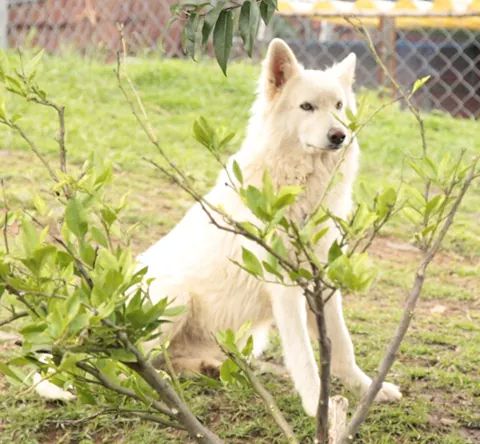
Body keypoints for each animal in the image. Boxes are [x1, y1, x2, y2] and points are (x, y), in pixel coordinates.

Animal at [136, 39, 402, 416]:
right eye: (307, 107)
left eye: (338, 105)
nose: (339, 136)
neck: (298, 185)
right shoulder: (285, 286)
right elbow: (303, 355)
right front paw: (316, 405)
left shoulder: (323, 280)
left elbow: (343, 345)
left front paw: (367, 389)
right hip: (175, 295)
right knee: (127, 362)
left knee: (169, 360)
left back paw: (209, 369)